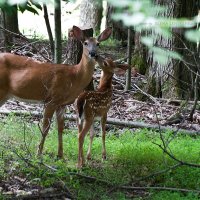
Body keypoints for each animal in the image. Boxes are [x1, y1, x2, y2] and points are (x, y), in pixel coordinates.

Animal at [0, 25, 111, 159]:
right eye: (85, 43)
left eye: (98, 43)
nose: (93, 54)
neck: (74, 77)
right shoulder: (51, 100)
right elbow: (45, 128)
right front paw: (38, 154)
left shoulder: (62, 104)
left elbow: (60, 128)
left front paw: (60, 155)